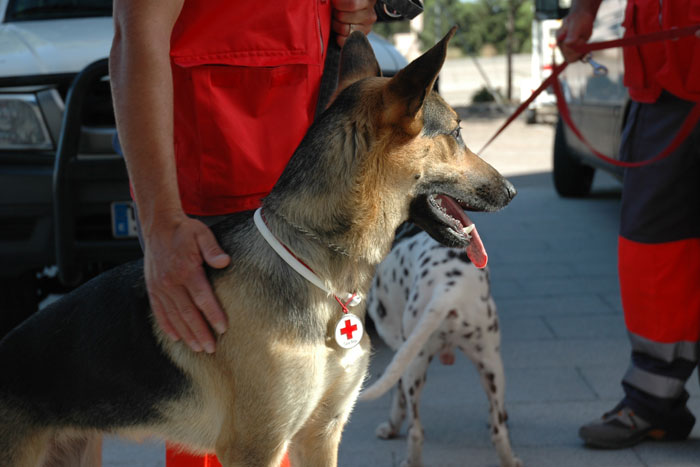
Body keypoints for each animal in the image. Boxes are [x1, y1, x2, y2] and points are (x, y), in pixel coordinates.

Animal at [360, 227, 520, 467]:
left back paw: (411, 461)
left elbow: (398, 399)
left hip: (413, 365)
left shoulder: (399, 349)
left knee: (416, 430)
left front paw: (391, 427)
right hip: (491, 366)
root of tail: (449, 288)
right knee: (498, 432)